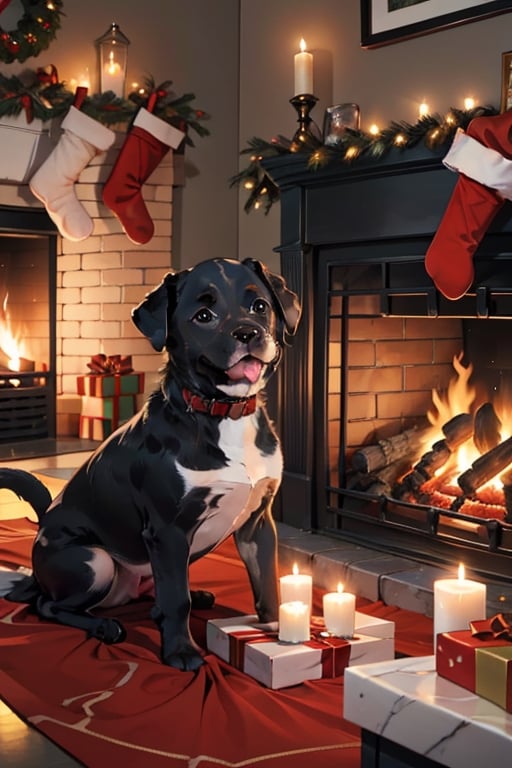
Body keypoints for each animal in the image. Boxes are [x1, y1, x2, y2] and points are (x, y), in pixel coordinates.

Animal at [1, 256, 300, 664]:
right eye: (203, 315)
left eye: (260, 306)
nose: (248, 333)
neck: (224, 414)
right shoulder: (168, 530)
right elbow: (176, 600)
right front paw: (181, 652)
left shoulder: (258, 523)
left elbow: (268, 584)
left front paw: (279, 631)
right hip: (94, 561)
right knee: (48, 605)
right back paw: (103, 626)